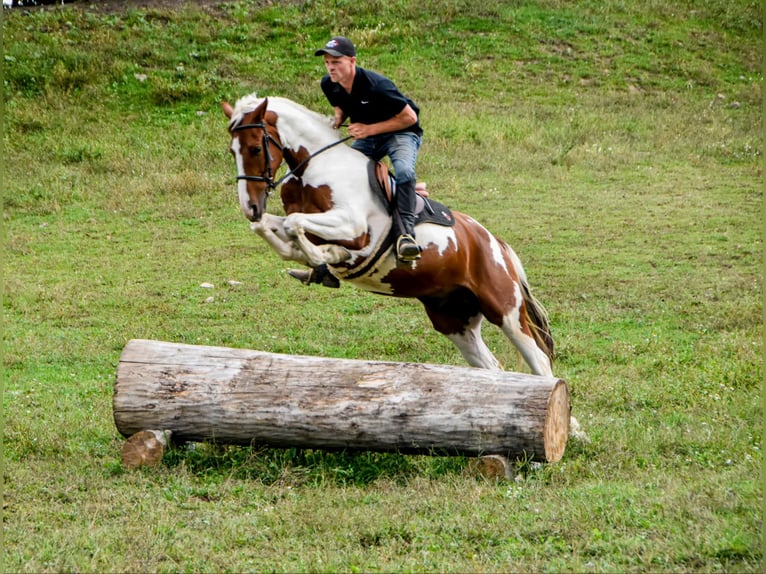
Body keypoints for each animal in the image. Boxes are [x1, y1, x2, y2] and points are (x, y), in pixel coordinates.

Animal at [221, 94, 555, 377]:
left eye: (255, 148)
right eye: (232, 151)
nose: (250, 207)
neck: (315, 168)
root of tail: (497, 244)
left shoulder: (354, 227)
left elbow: (295, 224)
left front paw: (329, 257)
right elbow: (271, 228)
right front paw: (317, 264)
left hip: (505, 309)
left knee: (538, 360)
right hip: (453, 320)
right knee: (492, 367)